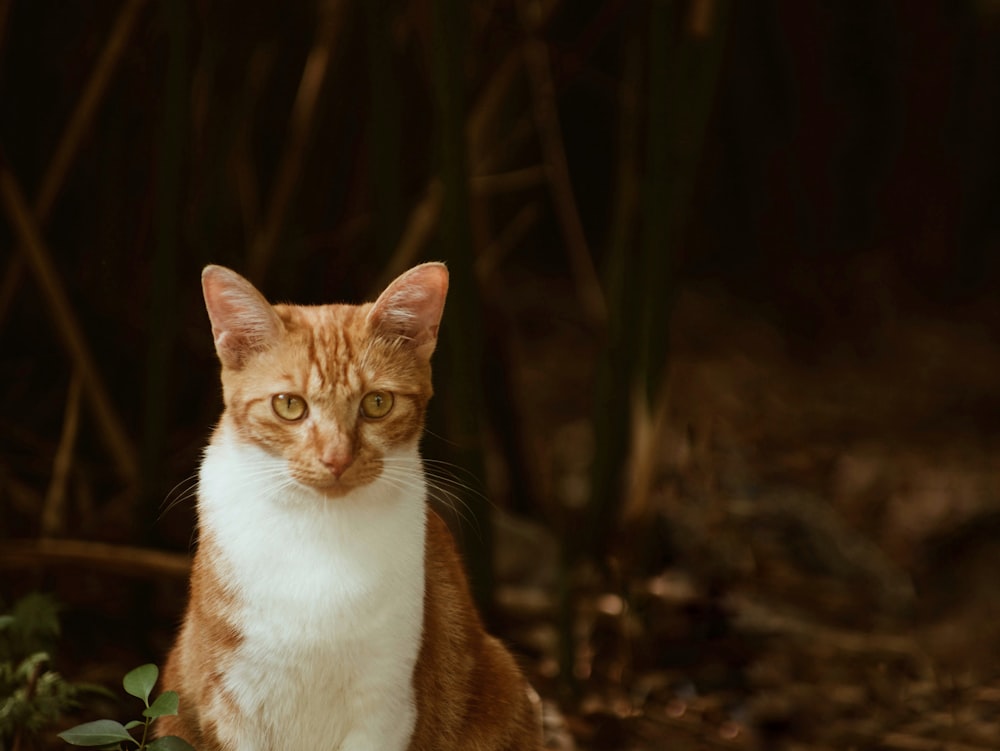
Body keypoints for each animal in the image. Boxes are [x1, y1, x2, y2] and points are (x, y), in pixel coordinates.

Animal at [159, 264, 544, 751]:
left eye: (377, 403)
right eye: (289, 405)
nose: (337, 457)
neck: (321, 537)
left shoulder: (386, 702)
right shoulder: (231, 701)